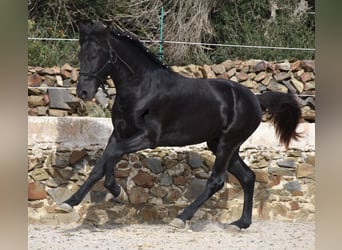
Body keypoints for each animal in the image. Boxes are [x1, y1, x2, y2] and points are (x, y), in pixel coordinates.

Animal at [56, 21, 302, 230]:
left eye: (96, 55)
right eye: (80, 55)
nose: (83, 92)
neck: (142, 87)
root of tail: (255, 99)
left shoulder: (147, 138)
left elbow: (113, 156)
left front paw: (118, 192)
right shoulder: (119, 133)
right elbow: (101, 164)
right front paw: (69, 202)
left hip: (227, 144)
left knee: (217, 181)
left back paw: (182, 218)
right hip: (220, 145)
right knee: (248, 177)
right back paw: (240, 223)